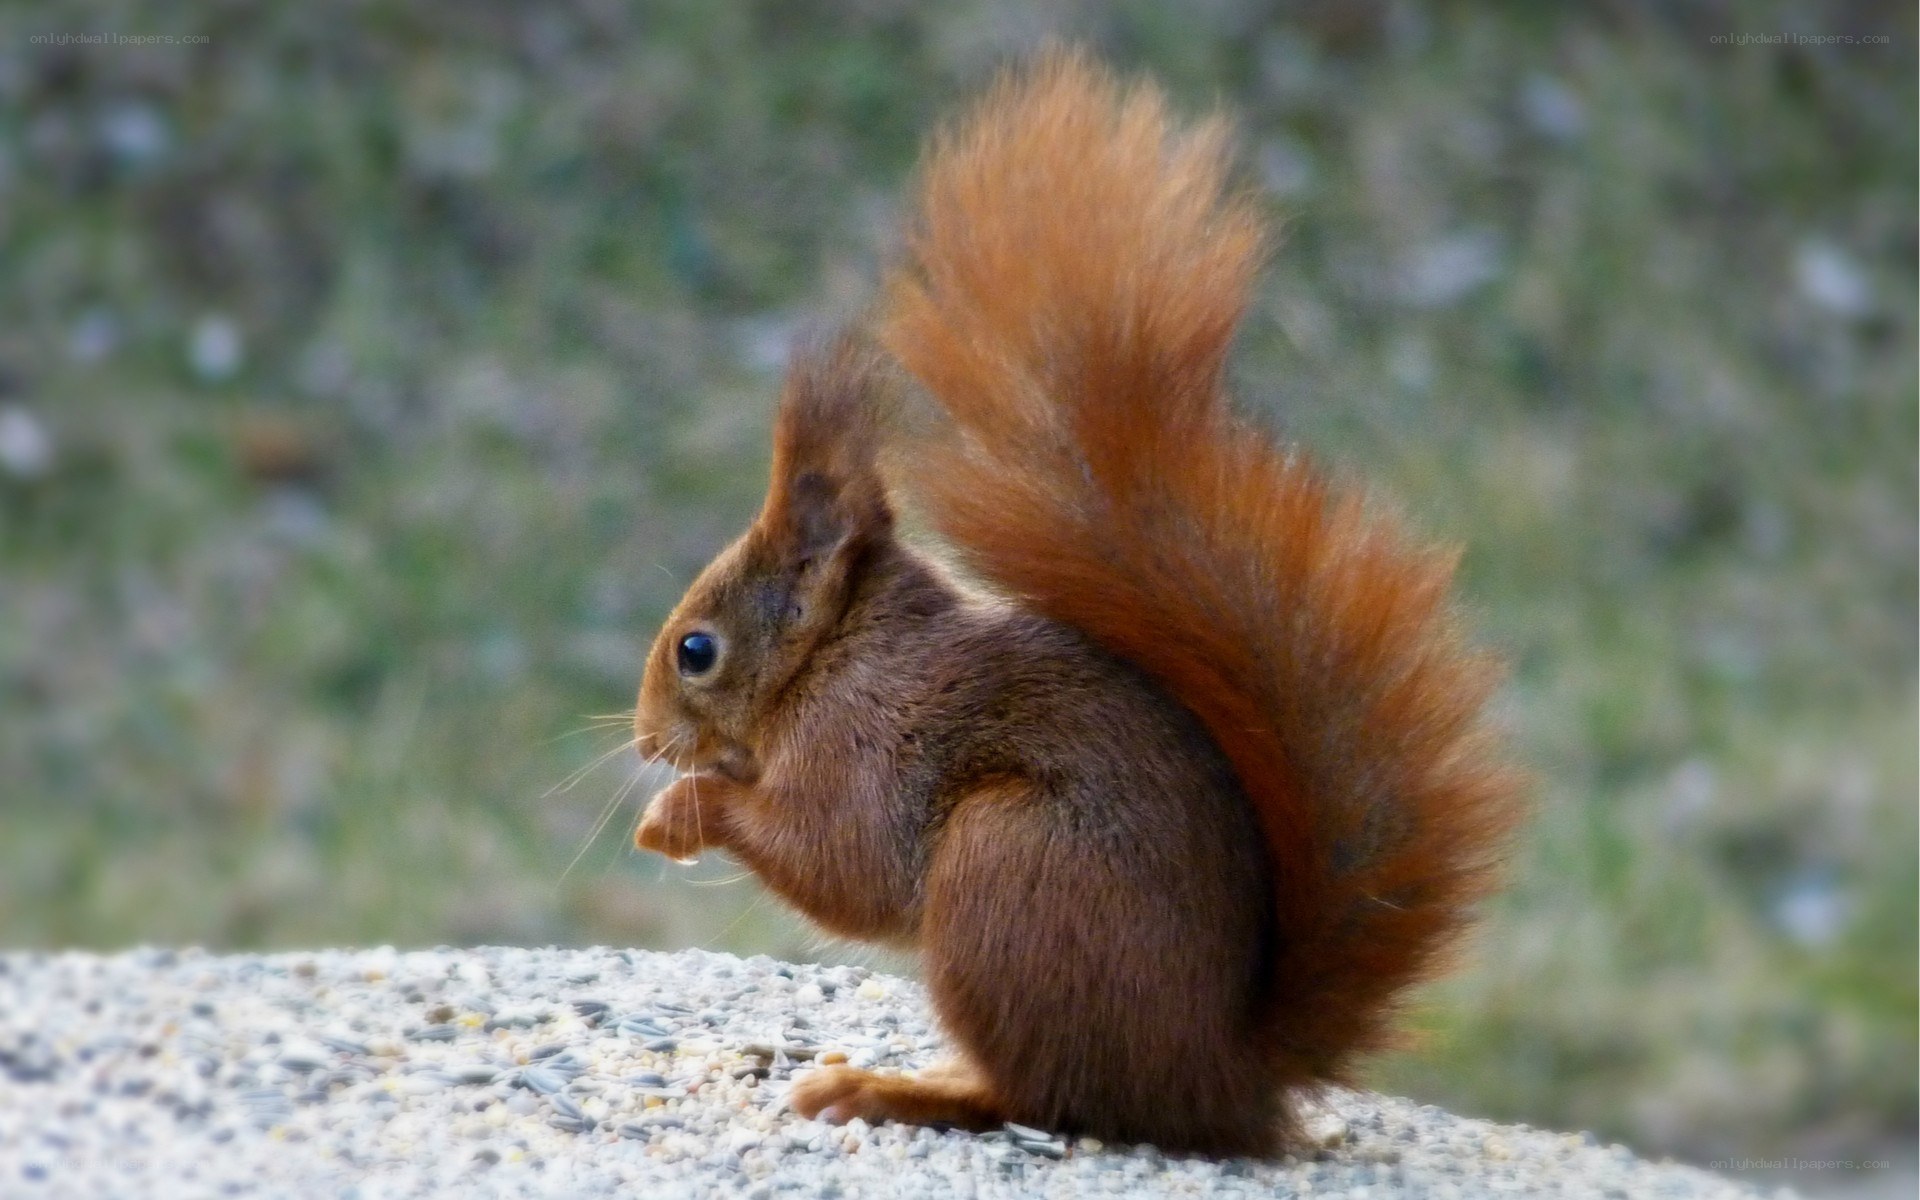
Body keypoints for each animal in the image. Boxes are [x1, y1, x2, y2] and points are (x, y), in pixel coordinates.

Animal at [630, 51, 1524, 1157]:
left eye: (695, 650)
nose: (645, 741)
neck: (836, 658)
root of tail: (1223, 1078)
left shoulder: (870, 748)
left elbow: (844, 864)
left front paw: (683, 809)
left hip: (1010, 870)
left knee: (1044, 1095)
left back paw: (896, 1091)